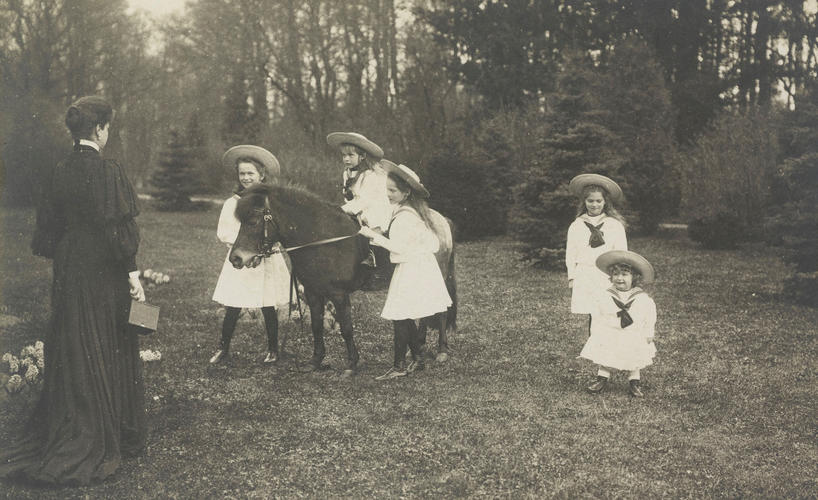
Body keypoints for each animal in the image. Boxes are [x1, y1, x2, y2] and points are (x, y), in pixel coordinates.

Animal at [230, 184, 456, 376]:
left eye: (253, 222)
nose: (236, 258)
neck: (321, 238)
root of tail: (440, 220)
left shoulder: (338, 294)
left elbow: (346, 329)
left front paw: (351, 365)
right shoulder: (313, 292)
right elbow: (316, 326)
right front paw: (315, 361)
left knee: (441, 312)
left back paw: (441, 351)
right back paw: (420, 345)